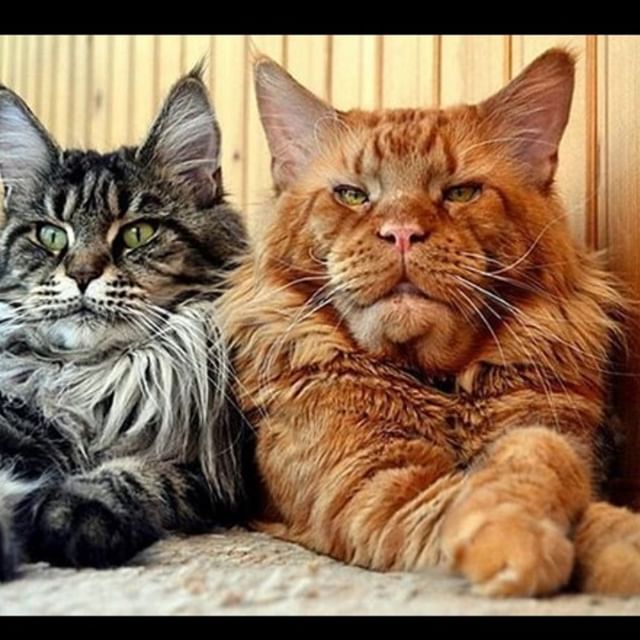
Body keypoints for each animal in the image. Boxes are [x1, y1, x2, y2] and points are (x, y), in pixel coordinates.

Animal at [0, 69, 250, 580]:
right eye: (51, 235)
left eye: (138, 233)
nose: (81, 274)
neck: (100, 378)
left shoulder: (211, 473)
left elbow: (139, 477)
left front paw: (75, 515)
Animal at [220, 48, 640, 596]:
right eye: (352, 195)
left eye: (461, 193)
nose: (401, 232)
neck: (438, 385)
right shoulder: (377, 483)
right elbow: (514, 470)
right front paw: (518, 543)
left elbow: (580, 497)